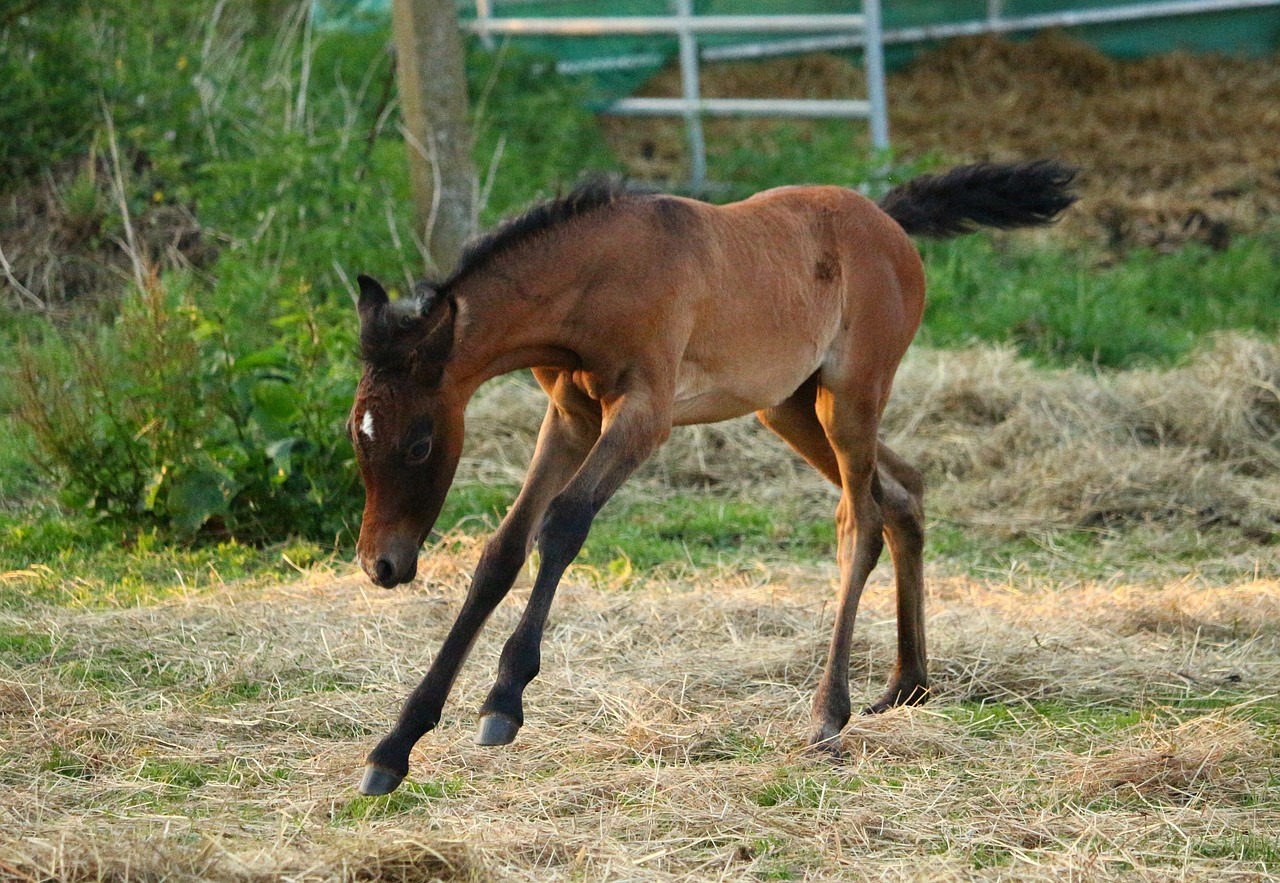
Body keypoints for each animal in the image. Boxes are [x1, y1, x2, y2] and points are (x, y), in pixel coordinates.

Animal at [345, 158, 1075, 793]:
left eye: (419, 443)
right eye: (357, 433)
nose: (382, 564)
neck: (596, 277)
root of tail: (887, 219)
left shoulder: (644, 415)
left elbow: (563, 524)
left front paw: (504, 701)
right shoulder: (571, 417)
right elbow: (502, 551)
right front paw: (395, 746)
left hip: (850, 398)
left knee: (860, 520)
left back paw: (828, 714)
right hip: (789, 406)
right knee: (903, 492)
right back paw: (908, 685)